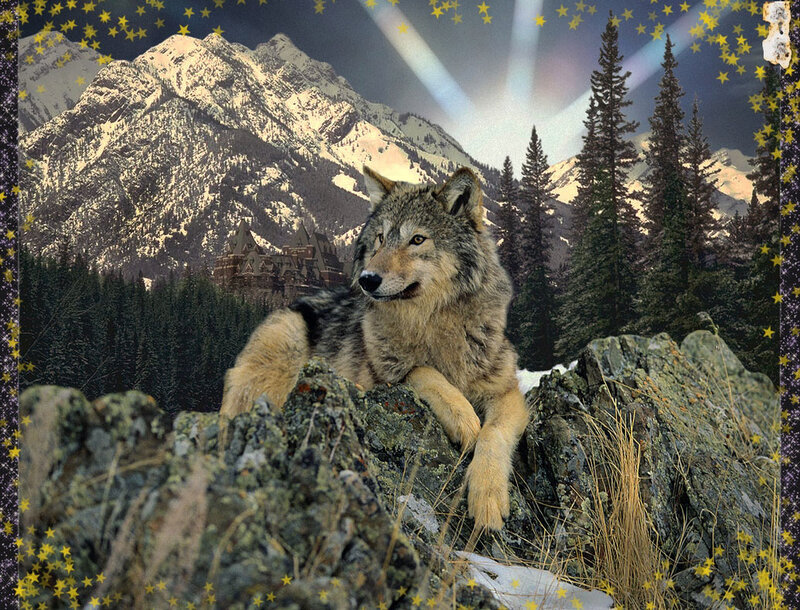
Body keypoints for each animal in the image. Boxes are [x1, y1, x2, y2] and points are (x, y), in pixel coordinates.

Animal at [220, 166, 530, 531]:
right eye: (381, 238)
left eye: (417, 239)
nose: (367, 279)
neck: (433, 323)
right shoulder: (381, 377)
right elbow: (421, 371)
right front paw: (463, 417)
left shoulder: (507, 392)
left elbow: (494, 434)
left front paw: (489, 498)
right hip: (284, 348)